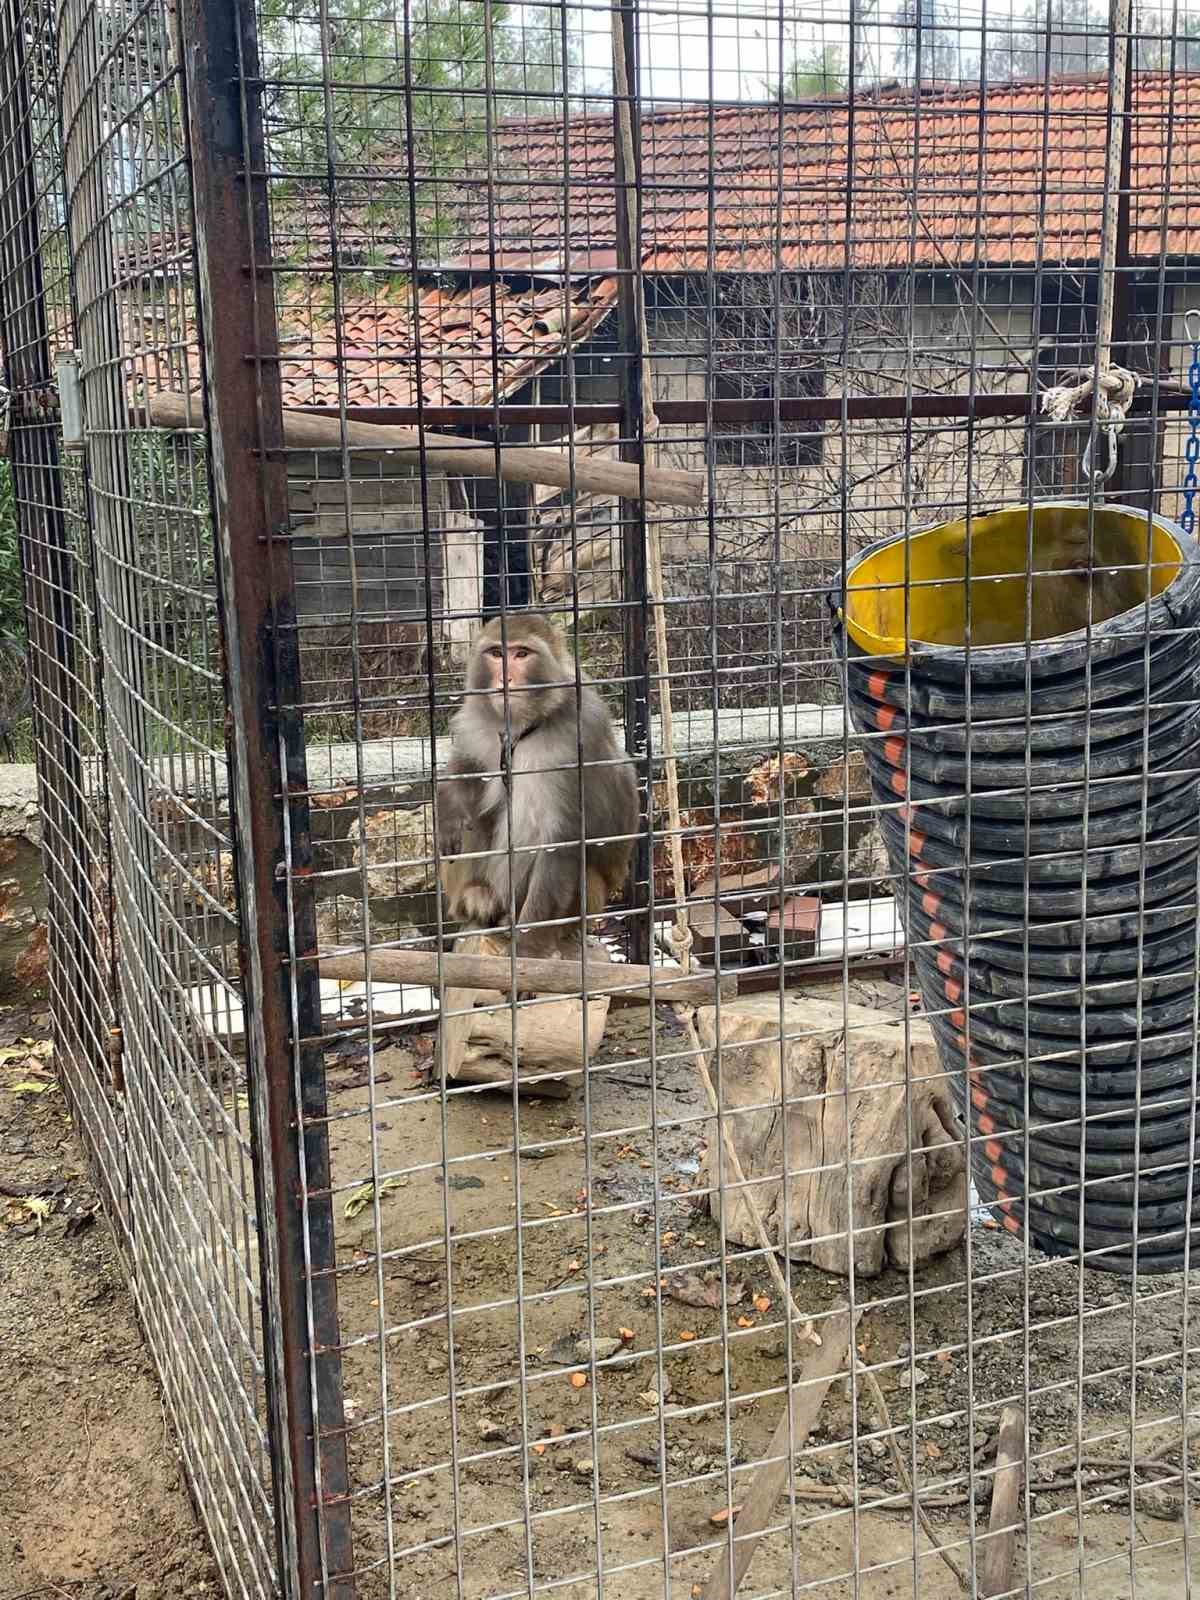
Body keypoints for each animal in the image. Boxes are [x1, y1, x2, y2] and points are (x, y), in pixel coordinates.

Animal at [435, 614, 640, 953]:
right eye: (496, 654)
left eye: (522, 654)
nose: (505, 679)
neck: (527, 725)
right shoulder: (477, 722)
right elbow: (467, 765)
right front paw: (449, 810)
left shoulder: (579, 740)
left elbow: (560, 840)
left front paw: (530, 947)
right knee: (477, 816)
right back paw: (476, 896)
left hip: (588, 902)